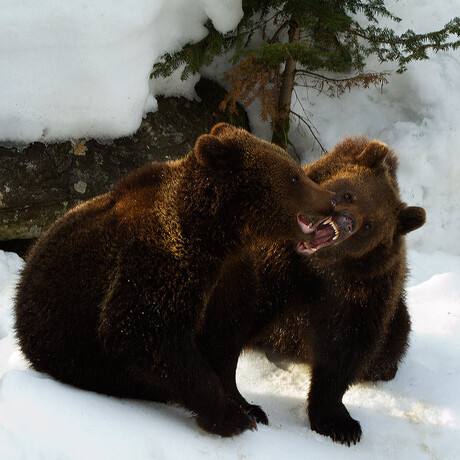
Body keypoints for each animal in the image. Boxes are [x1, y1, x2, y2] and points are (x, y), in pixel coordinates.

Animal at [15, 123, 352, 438]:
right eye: (294, 176)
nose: (332, 200)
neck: (220, 238)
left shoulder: (231, 279)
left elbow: (226, 339)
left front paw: (248, 406)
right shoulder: (162, 265)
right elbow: (148, 334)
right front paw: (231, 417)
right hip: (62, 334)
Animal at [244, 137, 428, 446]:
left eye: (370, 226)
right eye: (350, 194)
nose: (346, 221)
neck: (320, 267)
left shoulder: (363, 292)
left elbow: (345, 351)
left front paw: (339, 424)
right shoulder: (278, 264)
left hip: (397, 320)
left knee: (392, 347)